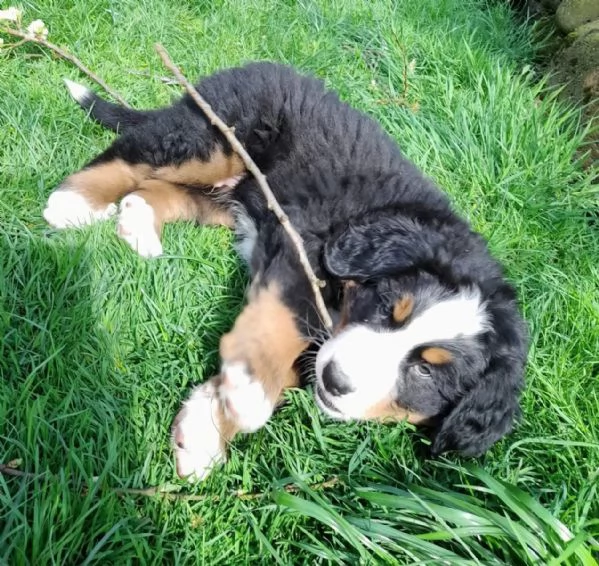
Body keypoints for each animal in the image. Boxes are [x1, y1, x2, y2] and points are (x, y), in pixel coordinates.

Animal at [43, 62, 528, 482]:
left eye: (428, 374)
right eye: (387, 308)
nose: (337, 381)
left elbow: (294, 366)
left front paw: (204, 430)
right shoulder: (304, 249)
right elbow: (282, 324)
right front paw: (247, 390)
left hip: (231, 194)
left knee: (160, 188)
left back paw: (138, 222)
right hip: (217, 140)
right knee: (135, 156)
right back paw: (74, 202)